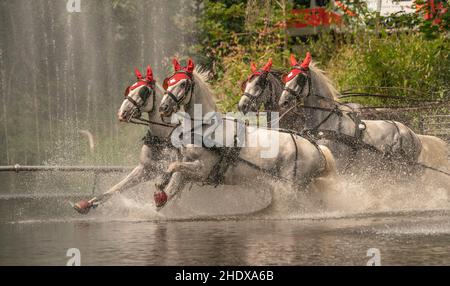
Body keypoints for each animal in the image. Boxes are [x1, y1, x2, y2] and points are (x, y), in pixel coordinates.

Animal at [153, 57, 336, 208]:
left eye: (183, 84)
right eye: (169, 82)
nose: (163, 107)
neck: (204, 128)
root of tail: (318, 149)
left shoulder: (202, 169)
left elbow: (172, 167)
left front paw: (160, 184)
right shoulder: (187, 165)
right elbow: (173, 186)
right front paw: (161, 197)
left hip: (292, 184)